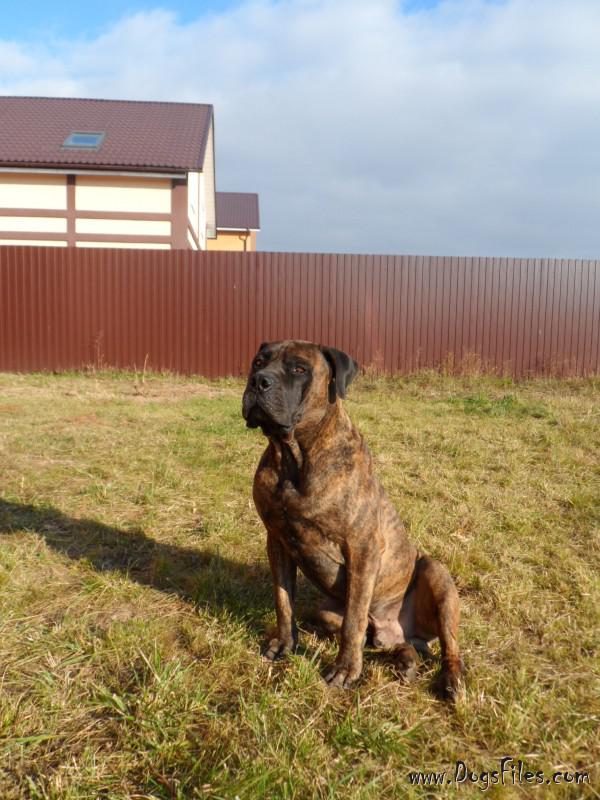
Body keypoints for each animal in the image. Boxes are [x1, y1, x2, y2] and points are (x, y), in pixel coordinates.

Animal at [243, 340, 464, 696]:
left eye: (299, 369)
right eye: (258, 362)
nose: (259, 381)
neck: (294, 455)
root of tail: (402, 630)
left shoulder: (362, 549)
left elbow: (354, 621)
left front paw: (345, 671)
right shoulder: (276, 540)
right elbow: (283, 600)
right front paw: (283, 644)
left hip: (437, 575)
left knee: (449, 645)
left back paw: (451, 680)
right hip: (326, 612)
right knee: (386, 643)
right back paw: (405, 661)